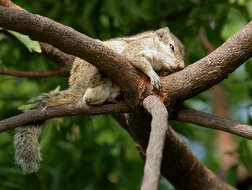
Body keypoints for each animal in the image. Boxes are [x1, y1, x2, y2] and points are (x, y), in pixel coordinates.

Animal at [13, 27, 185, 174]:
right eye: (171, 47)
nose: (181, 66)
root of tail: (76, 83)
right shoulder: (136, 48)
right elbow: (138, 59)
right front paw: (153, 74)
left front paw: (162, 72)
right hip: (91, 67)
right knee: (88, 95)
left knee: (91, 97)